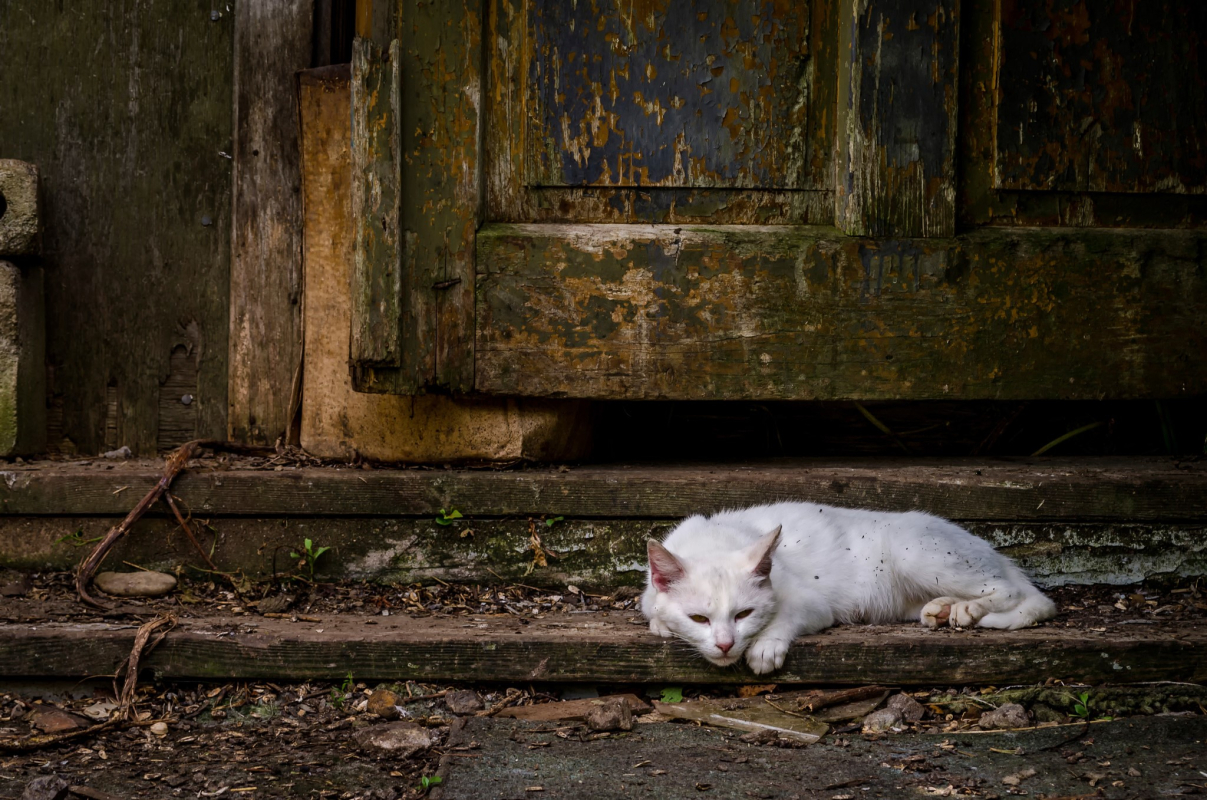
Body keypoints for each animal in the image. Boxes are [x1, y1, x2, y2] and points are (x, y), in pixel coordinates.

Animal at [642, 504, 1057, 670]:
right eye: (699, 618)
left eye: (744, 614)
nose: (726, 644)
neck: (714, 541)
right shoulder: (649, 597)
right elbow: (653, 613)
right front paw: (662, 625)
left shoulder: (813, 603)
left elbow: (783, 619)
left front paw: (764, 647)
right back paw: (941, 609)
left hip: (915, 553)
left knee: (1015, 593)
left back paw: (968, 609)